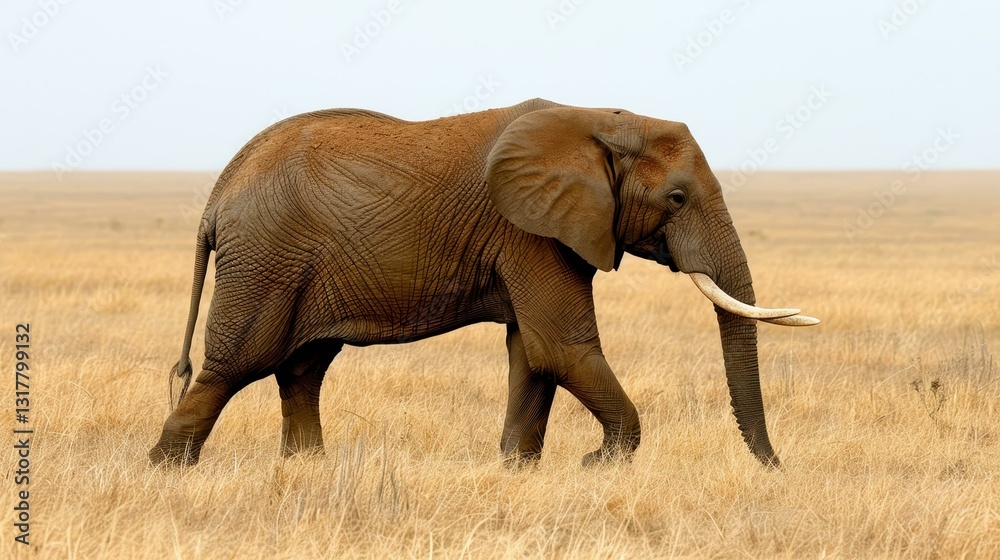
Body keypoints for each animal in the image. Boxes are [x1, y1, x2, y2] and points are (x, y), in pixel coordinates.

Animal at [149, 98, 817, 469]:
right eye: (676, 199)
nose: (777, 468)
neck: (603, 120)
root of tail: (219, 191)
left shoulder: (541, 231)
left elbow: (533, 353)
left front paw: (518, 469)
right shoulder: (530, 229)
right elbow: (562, 348)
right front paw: (596, 464)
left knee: (302, 368)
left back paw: (307, 467)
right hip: (266, 257)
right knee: (239, 362)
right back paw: (166, 469)